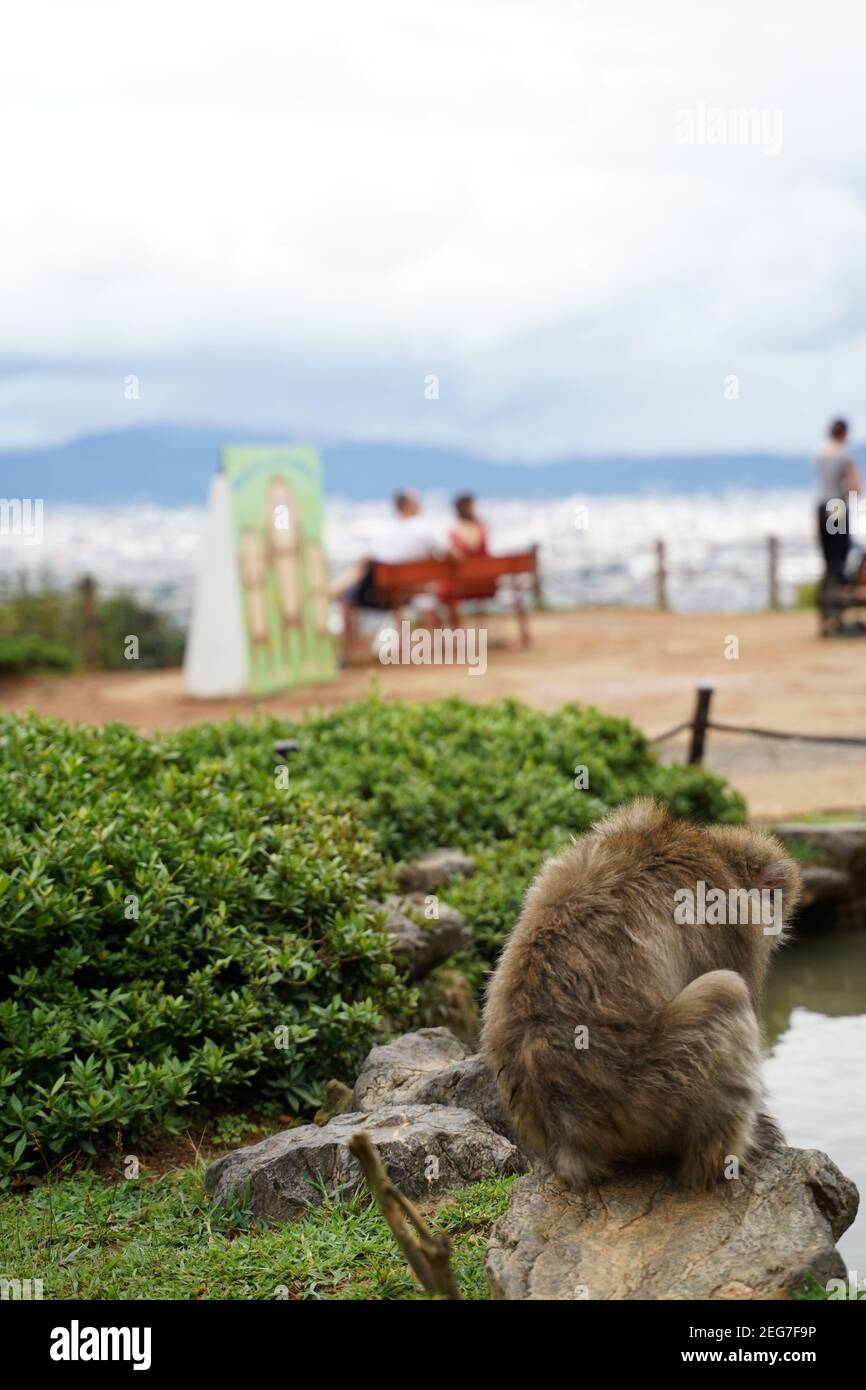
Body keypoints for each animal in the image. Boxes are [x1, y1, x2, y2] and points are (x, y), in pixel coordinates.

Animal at [481, 799, 802, 1190]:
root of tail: (570, 1142)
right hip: (650, 1097)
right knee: (726, 992)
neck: (711, 851)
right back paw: (718, 1165)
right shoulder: (733, 920)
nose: (777, 924)